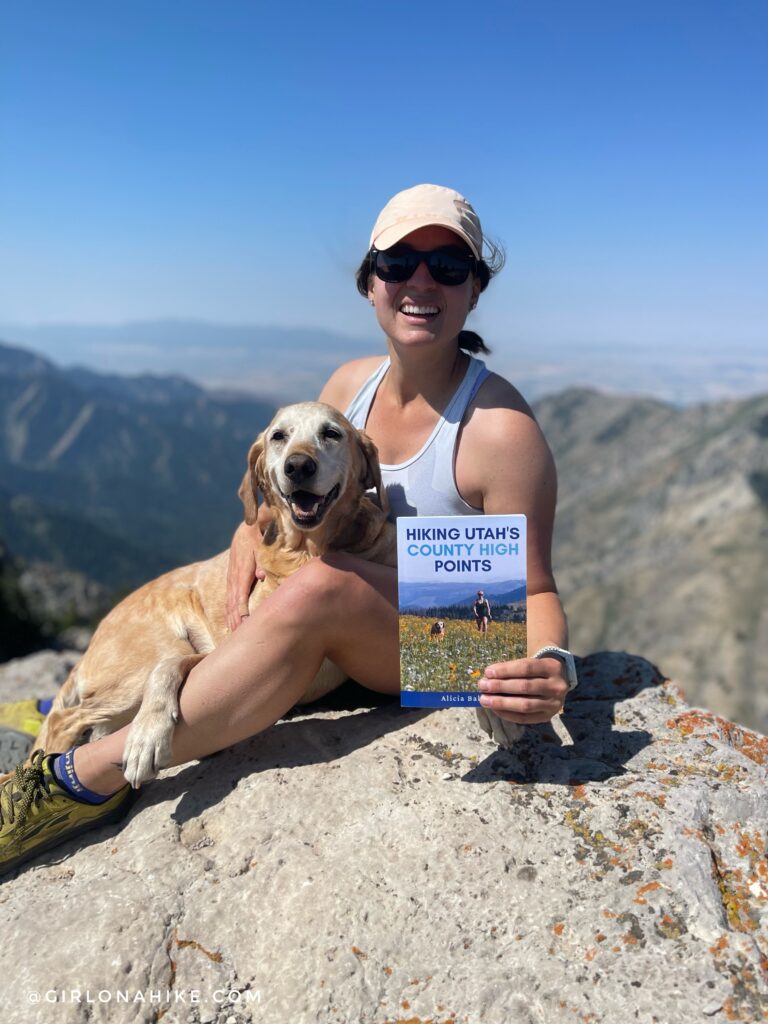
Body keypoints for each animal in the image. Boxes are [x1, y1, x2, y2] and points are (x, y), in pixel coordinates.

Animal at [19, 403, 397, 786]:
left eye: (331, 433)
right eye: (279, 436)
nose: (298, 466)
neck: (306, 554)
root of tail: (91, 643)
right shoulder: (229, 647)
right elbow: (167, 669)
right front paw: (147, 736)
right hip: (145, 661)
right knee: (64, 718)